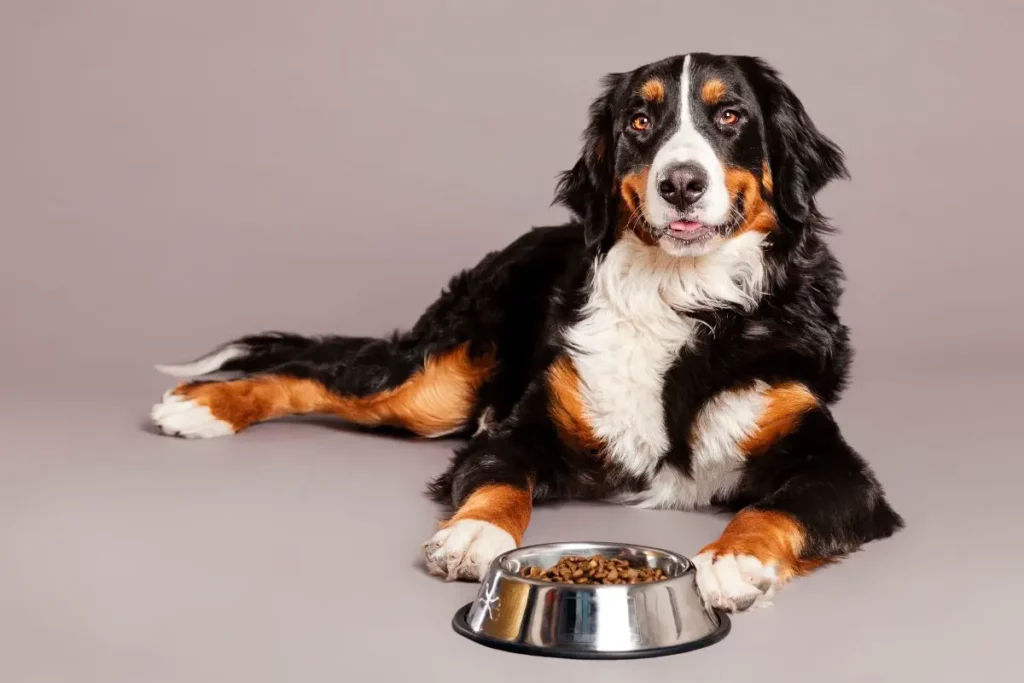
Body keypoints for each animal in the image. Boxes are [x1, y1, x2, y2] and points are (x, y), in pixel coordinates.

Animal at [151, 50, 905, 610]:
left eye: (729, 115)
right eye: (640, 121)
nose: (681, 183)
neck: (679, 297)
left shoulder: (839, 470)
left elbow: (776, 510)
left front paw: (731, 559)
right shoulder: (522, 430)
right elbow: (500, 480)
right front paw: (472, 535)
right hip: (435, 390)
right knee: (308, 376)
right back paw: (201, 406)